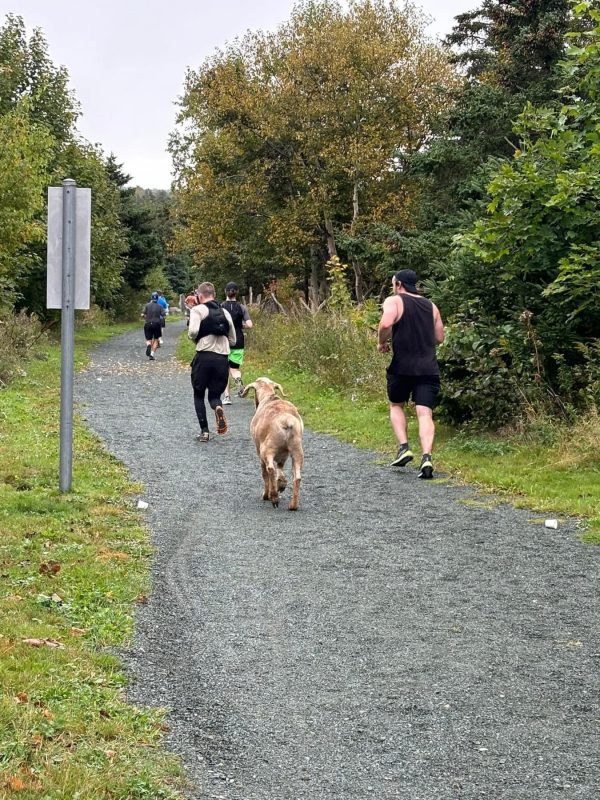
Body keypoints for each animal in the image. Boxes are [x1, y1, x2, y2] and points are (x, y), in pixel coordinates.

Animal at [240, 378, 302, 510]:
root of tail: (286, 421)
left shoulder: (259, 450)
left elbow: (265, 473)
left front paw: (266, 495)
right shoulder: (283, 455)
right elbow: (280, 468)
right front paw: (281, 484)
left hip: (267, 449)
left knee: (270, 469)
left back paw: (273, 497)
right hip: (296, 450)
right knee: (296, 477)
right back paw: (292, 504)